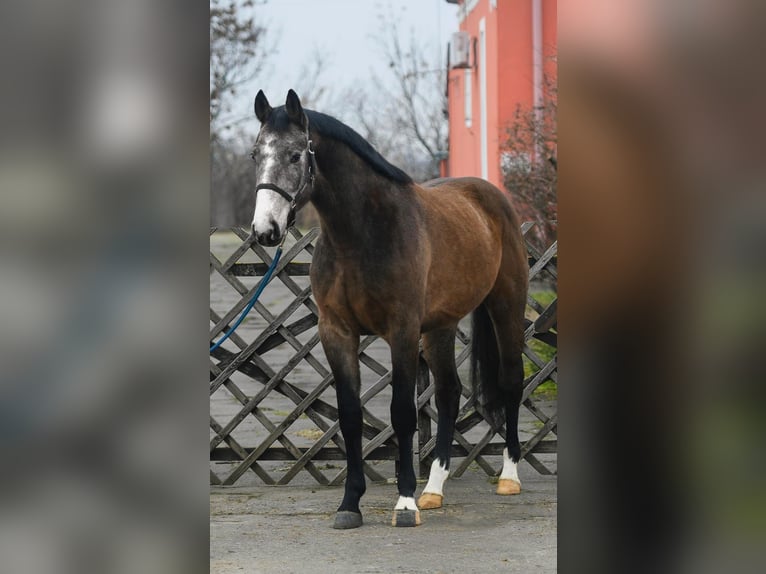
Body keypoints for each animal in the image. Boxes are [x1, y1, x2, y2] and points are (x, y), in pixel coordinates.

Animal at [250, 89, 528, 529]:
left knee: (511, 381)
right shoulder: (337, 332)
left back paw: (509, 477)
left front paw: (405, 502)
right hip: (441, 327)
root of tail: (492, 197)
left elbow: (402, 413)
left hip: (506, 307)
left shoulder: (402, 331)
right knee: (449, 392)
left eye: (295, 155)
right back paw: (434, 489)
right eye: (255, 154)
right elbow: (349, 415)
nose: (265, 231)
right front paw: (350, 504)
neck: (364, 234)